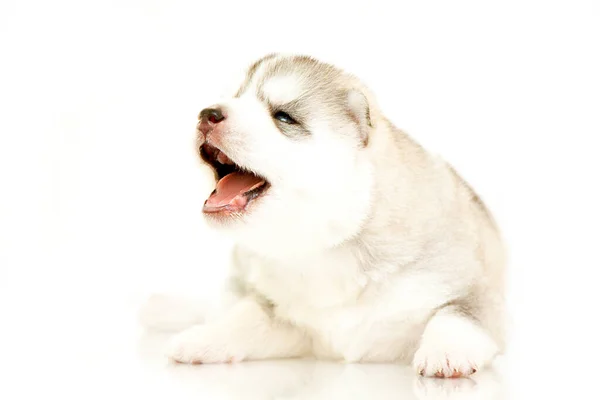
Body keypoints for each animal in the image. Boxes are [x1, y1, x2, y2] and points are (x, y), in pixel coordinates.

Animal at [144, 54, 506, 378]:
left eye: (283, 117)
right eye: (234, 98)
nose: (208, 114)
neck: (328, 244)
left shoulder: (476, 292)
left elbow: (456, 315)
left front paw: (446, 352)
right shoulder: (288, 319)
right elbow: (247, 315)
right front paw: (204, 338)